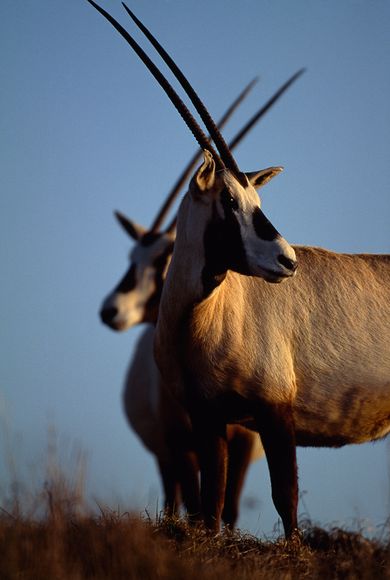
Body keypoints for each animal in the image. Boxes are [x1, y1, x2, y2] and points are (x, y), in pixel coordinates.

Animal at [100, 73, 302, 524]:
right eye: (132, 257)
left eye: (163, 257)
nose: (110, 311)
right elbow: (197, 505)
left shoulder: (241, 437)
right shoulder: (181, 442)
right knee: (174, 500)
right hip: (167, 455)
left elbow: (228, 509)